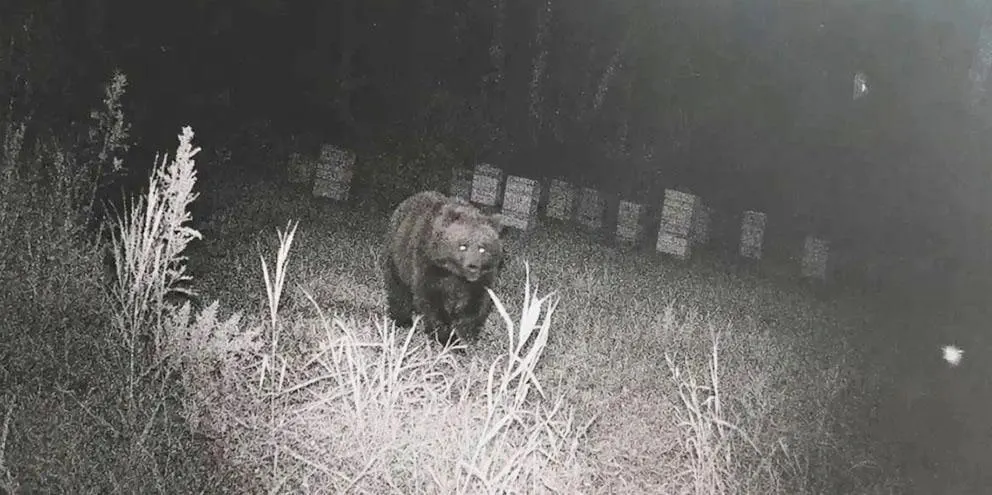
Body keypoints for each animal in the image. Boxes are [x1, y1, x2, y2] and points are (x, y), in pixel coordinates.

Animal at [382, 191, 507, 347]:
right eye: (462, 246)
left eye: (482, 248)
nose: (472, 267)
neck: (455, 274)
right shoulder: (428, 266)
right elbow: (432, 302)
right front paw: (446, 338)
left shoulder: (483, 277)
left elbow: (476, 304)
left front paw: (466, 335)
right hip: (398, 256)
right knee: (398, 287)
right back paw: (402, 320)